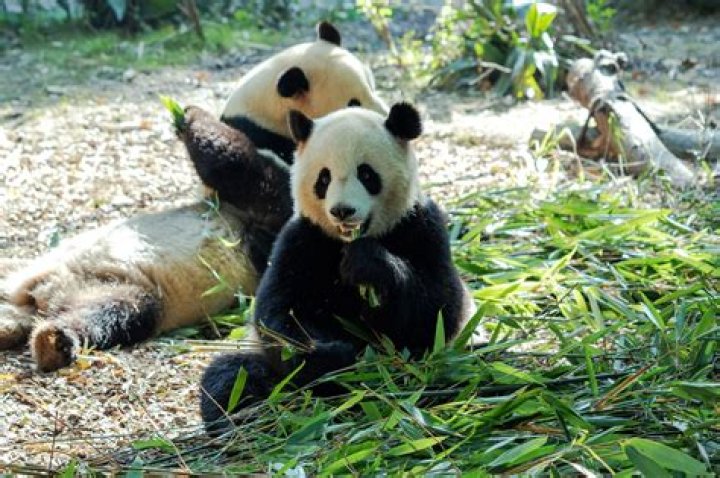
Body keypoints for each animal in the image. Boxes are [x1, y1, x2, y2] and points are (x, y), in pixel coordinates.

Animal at [0, 22, 388, 373]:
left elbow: (241, 171)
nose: (386, 118)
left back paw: (52, 341)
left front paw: (189, 116)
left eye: (370, 85)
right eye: (355, 98)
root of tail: (40, 291)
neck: (265, 125)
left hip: (121, 288)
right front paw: (183, 112)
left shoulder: (280, 194)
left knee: (111, 310)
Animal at [199, 103, 475, 430]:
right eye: (324, 178)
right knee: (232, 375)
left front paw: (367, 264)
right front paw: (331, 354)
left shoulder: (421, 225)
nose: (342, 211)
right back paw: (240, 413)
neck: (346, 241)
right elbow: (280, 313)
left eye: (366, 174)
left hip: (447, 361)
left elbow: (438, 308)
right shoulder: (303, 239)